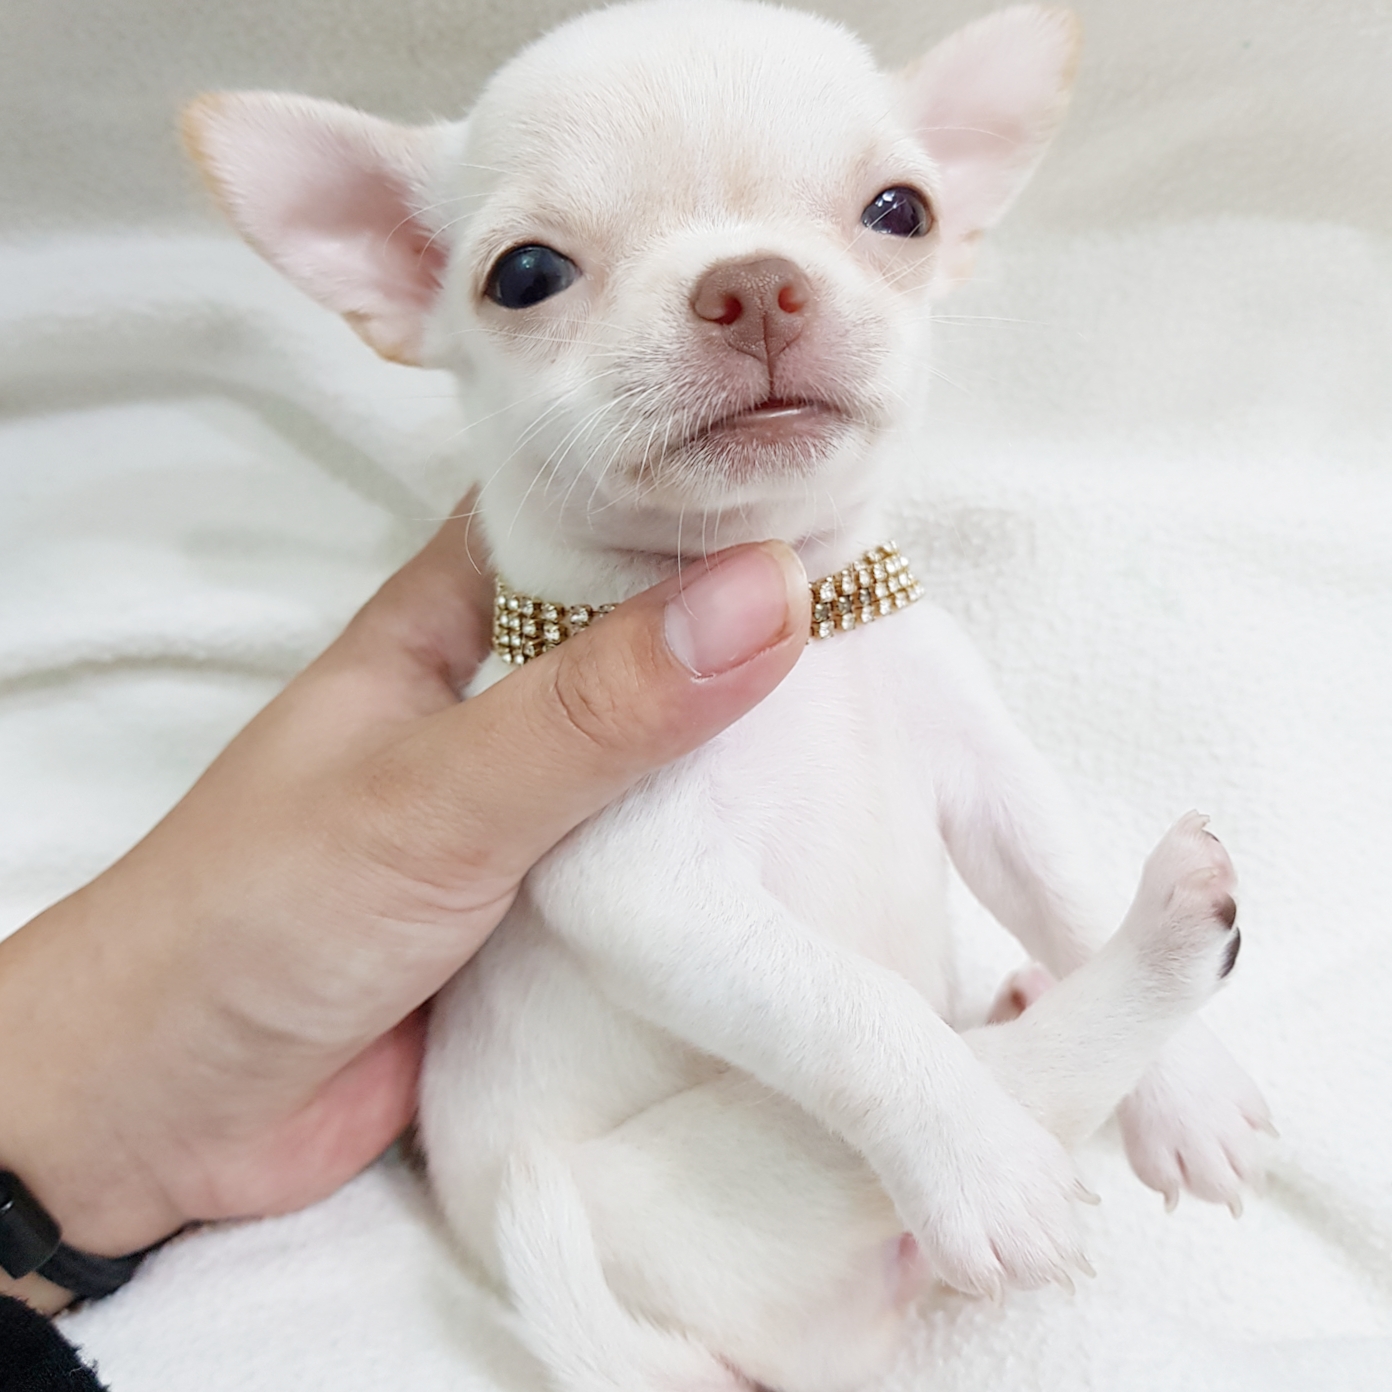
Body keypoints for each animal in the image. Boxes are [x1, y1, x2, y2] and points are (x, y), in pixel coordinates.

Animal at [183, 4, 1273, 1389]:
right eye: (524, 276)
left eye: (903, 210)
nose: (754, 280)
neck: (809, 614)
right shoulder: (644, 884)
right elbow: (852, 1008)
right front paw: (978, 1161)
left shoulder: (986, 772)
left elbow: (1063, 881)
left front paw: (1191, 1093)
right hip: (714, 1176)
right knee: (990, 1074)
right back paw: (1125, 987)